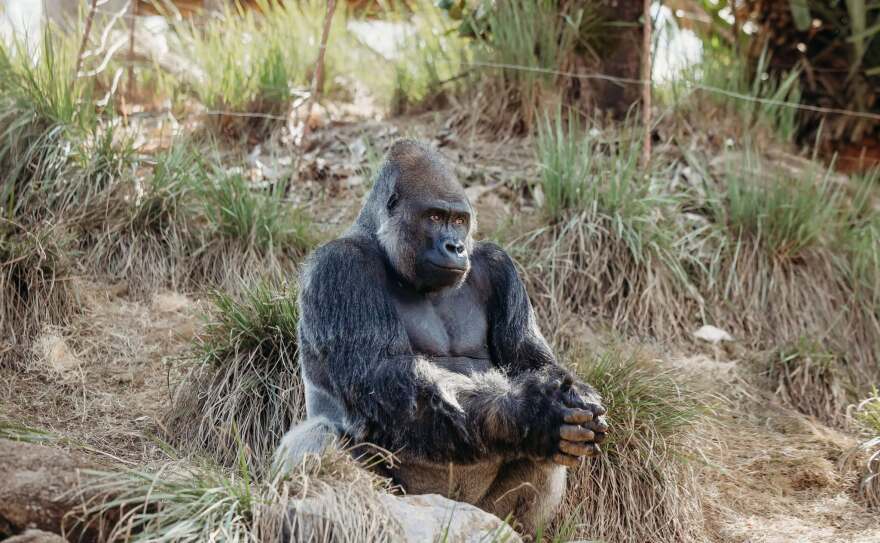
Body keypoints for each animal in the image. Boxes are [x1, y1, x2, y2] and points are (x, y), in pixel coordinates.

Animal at [275, 139, 608, 535]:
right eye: (434, 217)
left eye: (459, 221)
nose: (455, 247)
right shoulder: (340, 269)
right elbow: (384, 377)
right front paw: (531, 412)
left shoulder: (500, 265)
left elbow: (532, 361)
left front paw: (556, 401)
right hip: (407, 503)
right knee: (322, 437)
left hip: (483, 513)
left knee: (542, 463)